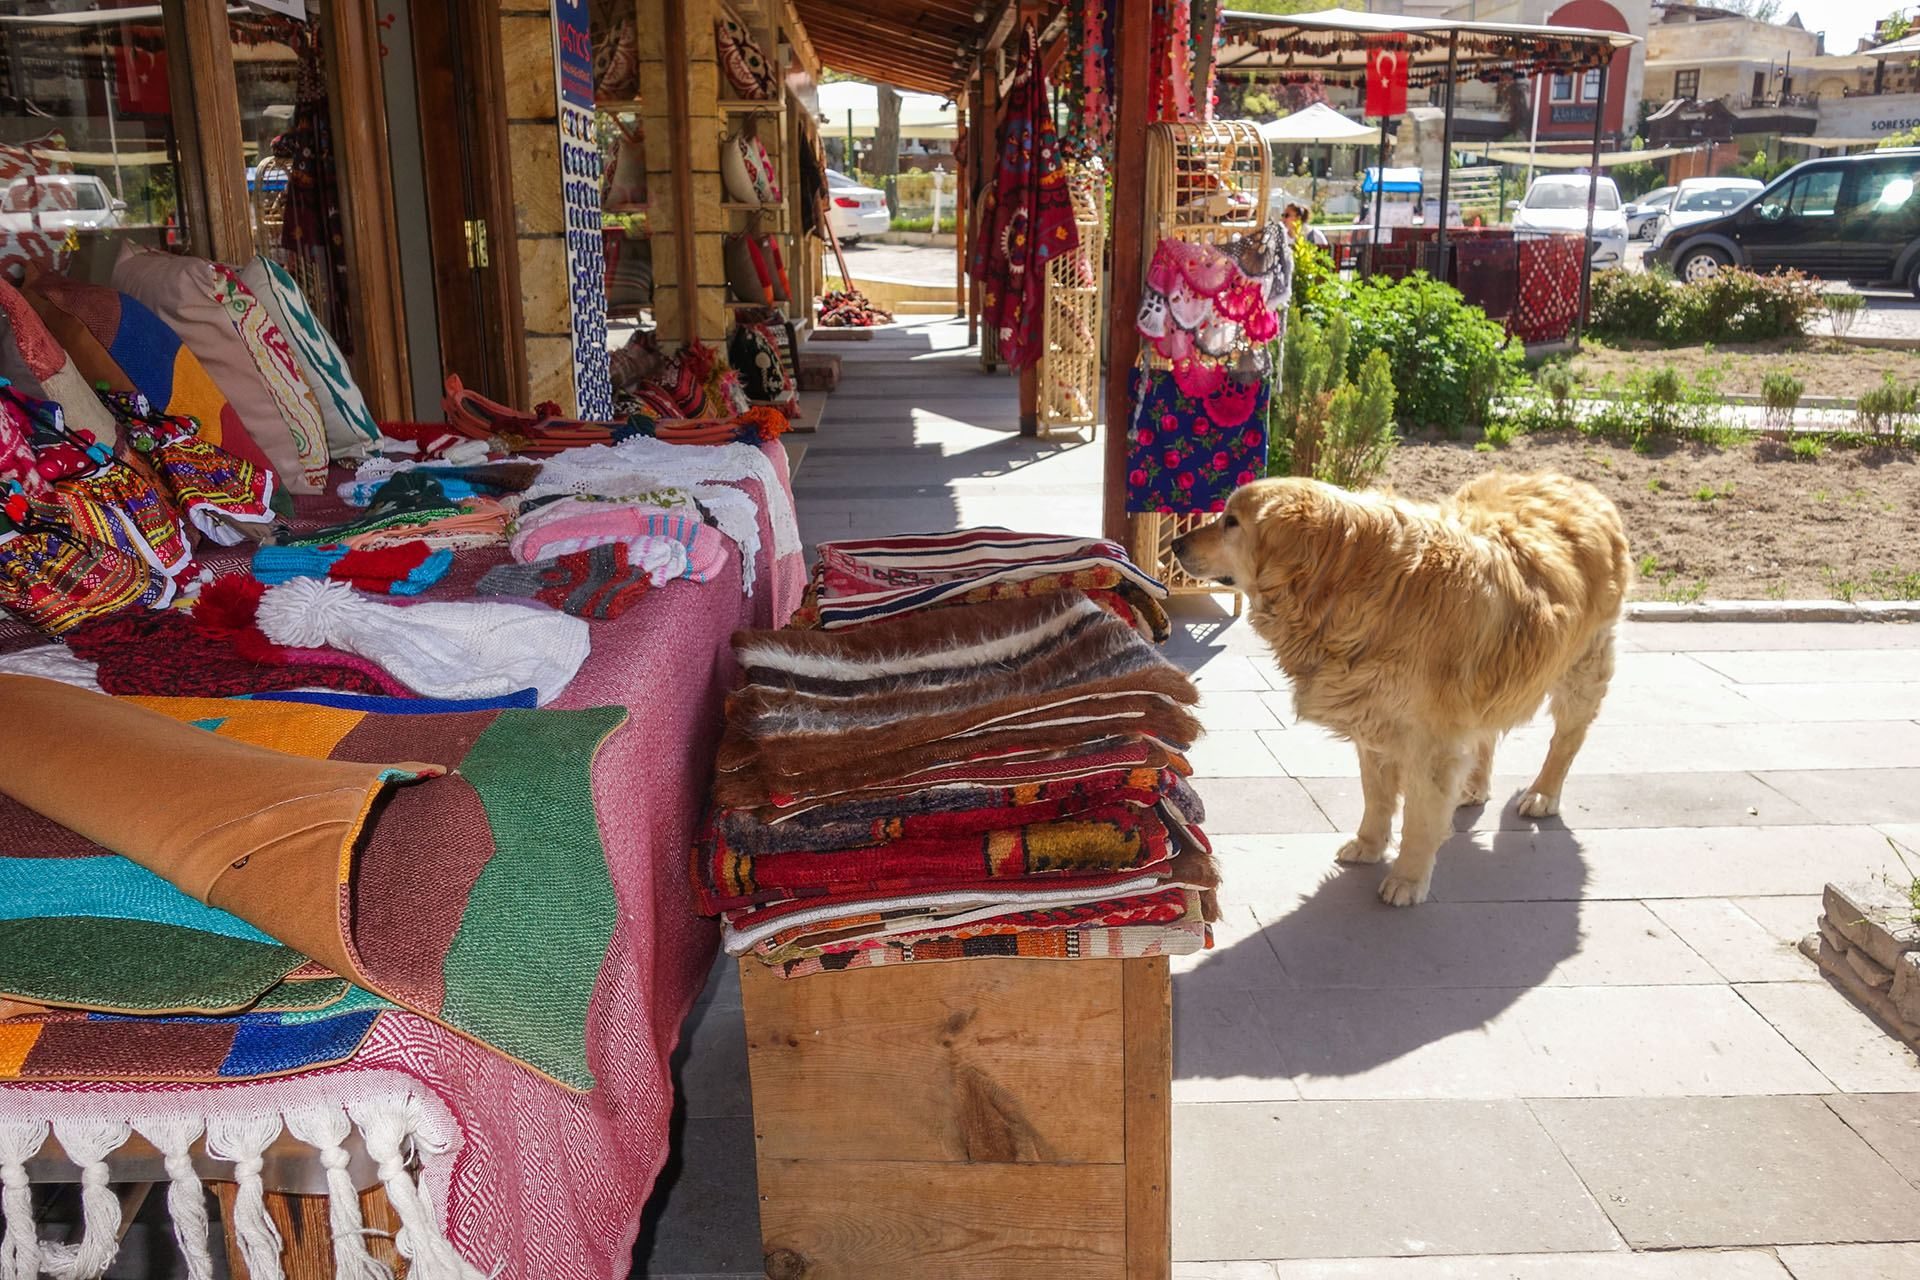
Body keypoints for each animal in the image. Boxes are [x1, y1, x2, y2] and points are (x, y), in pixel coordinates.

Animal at [1175, 474, 1628, 909]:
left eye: (1232, 522)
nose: (1176, 544)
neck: (1354, 584)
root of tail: (1581, 487)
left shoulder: (1429, 745)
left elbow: (1420, 819)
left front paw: (1408, 879)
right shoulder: (1375, 721)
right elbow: (1376, 797)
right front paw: (1369, 845)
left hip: (1582, 665)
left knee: (1566, 740)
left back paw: (1543, 793)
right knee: (1485, 733)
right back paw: (1474, 786)